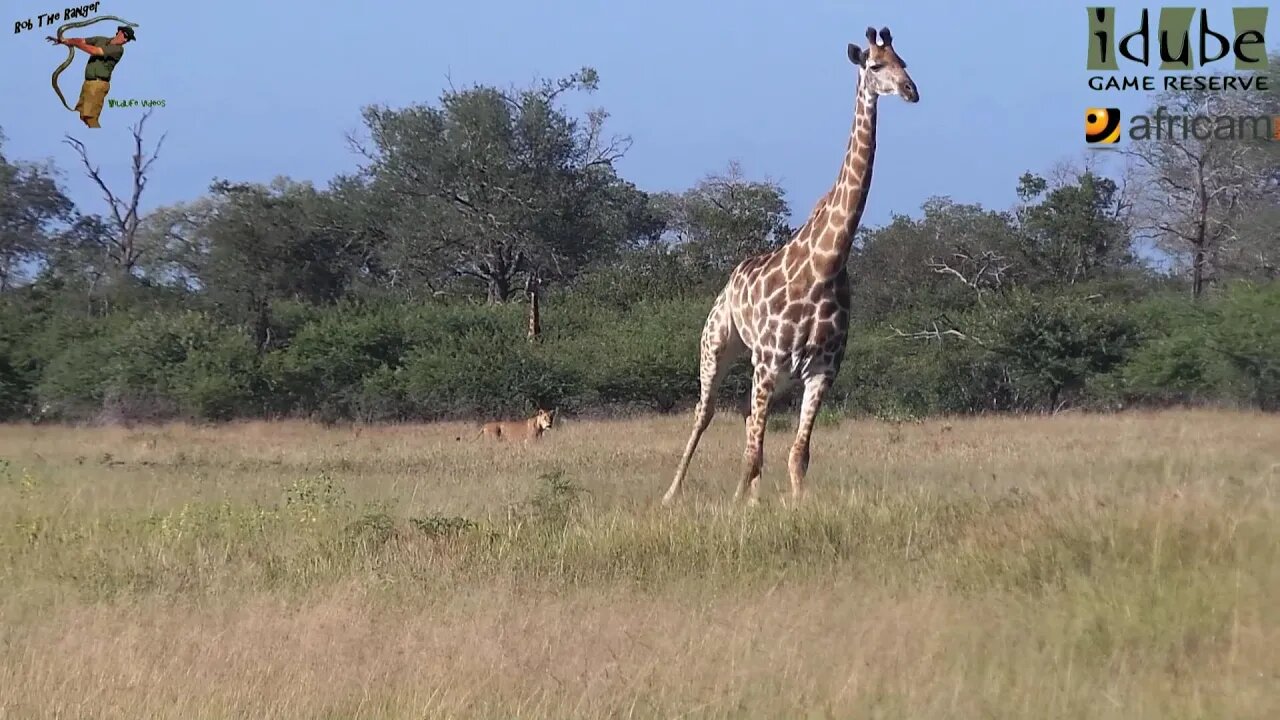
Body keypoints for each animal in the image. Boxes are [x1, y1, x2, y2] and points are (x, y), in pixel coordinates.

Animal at [665, 26, 916, 504]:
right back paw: (671, 494)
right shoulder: (767, 364)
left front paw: (788, 508)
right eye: (876, 66)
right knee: (704, 414)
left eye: (905, 62)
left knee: (749, 425)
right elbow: (751, 456)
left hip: (775, 377)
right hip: (718, 348)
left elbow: (797, 455)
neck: (825, 265)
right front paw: (735, 510)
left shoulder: (821, 372)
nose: (912, 91)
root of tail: (730, 281)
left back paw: (753, 499)